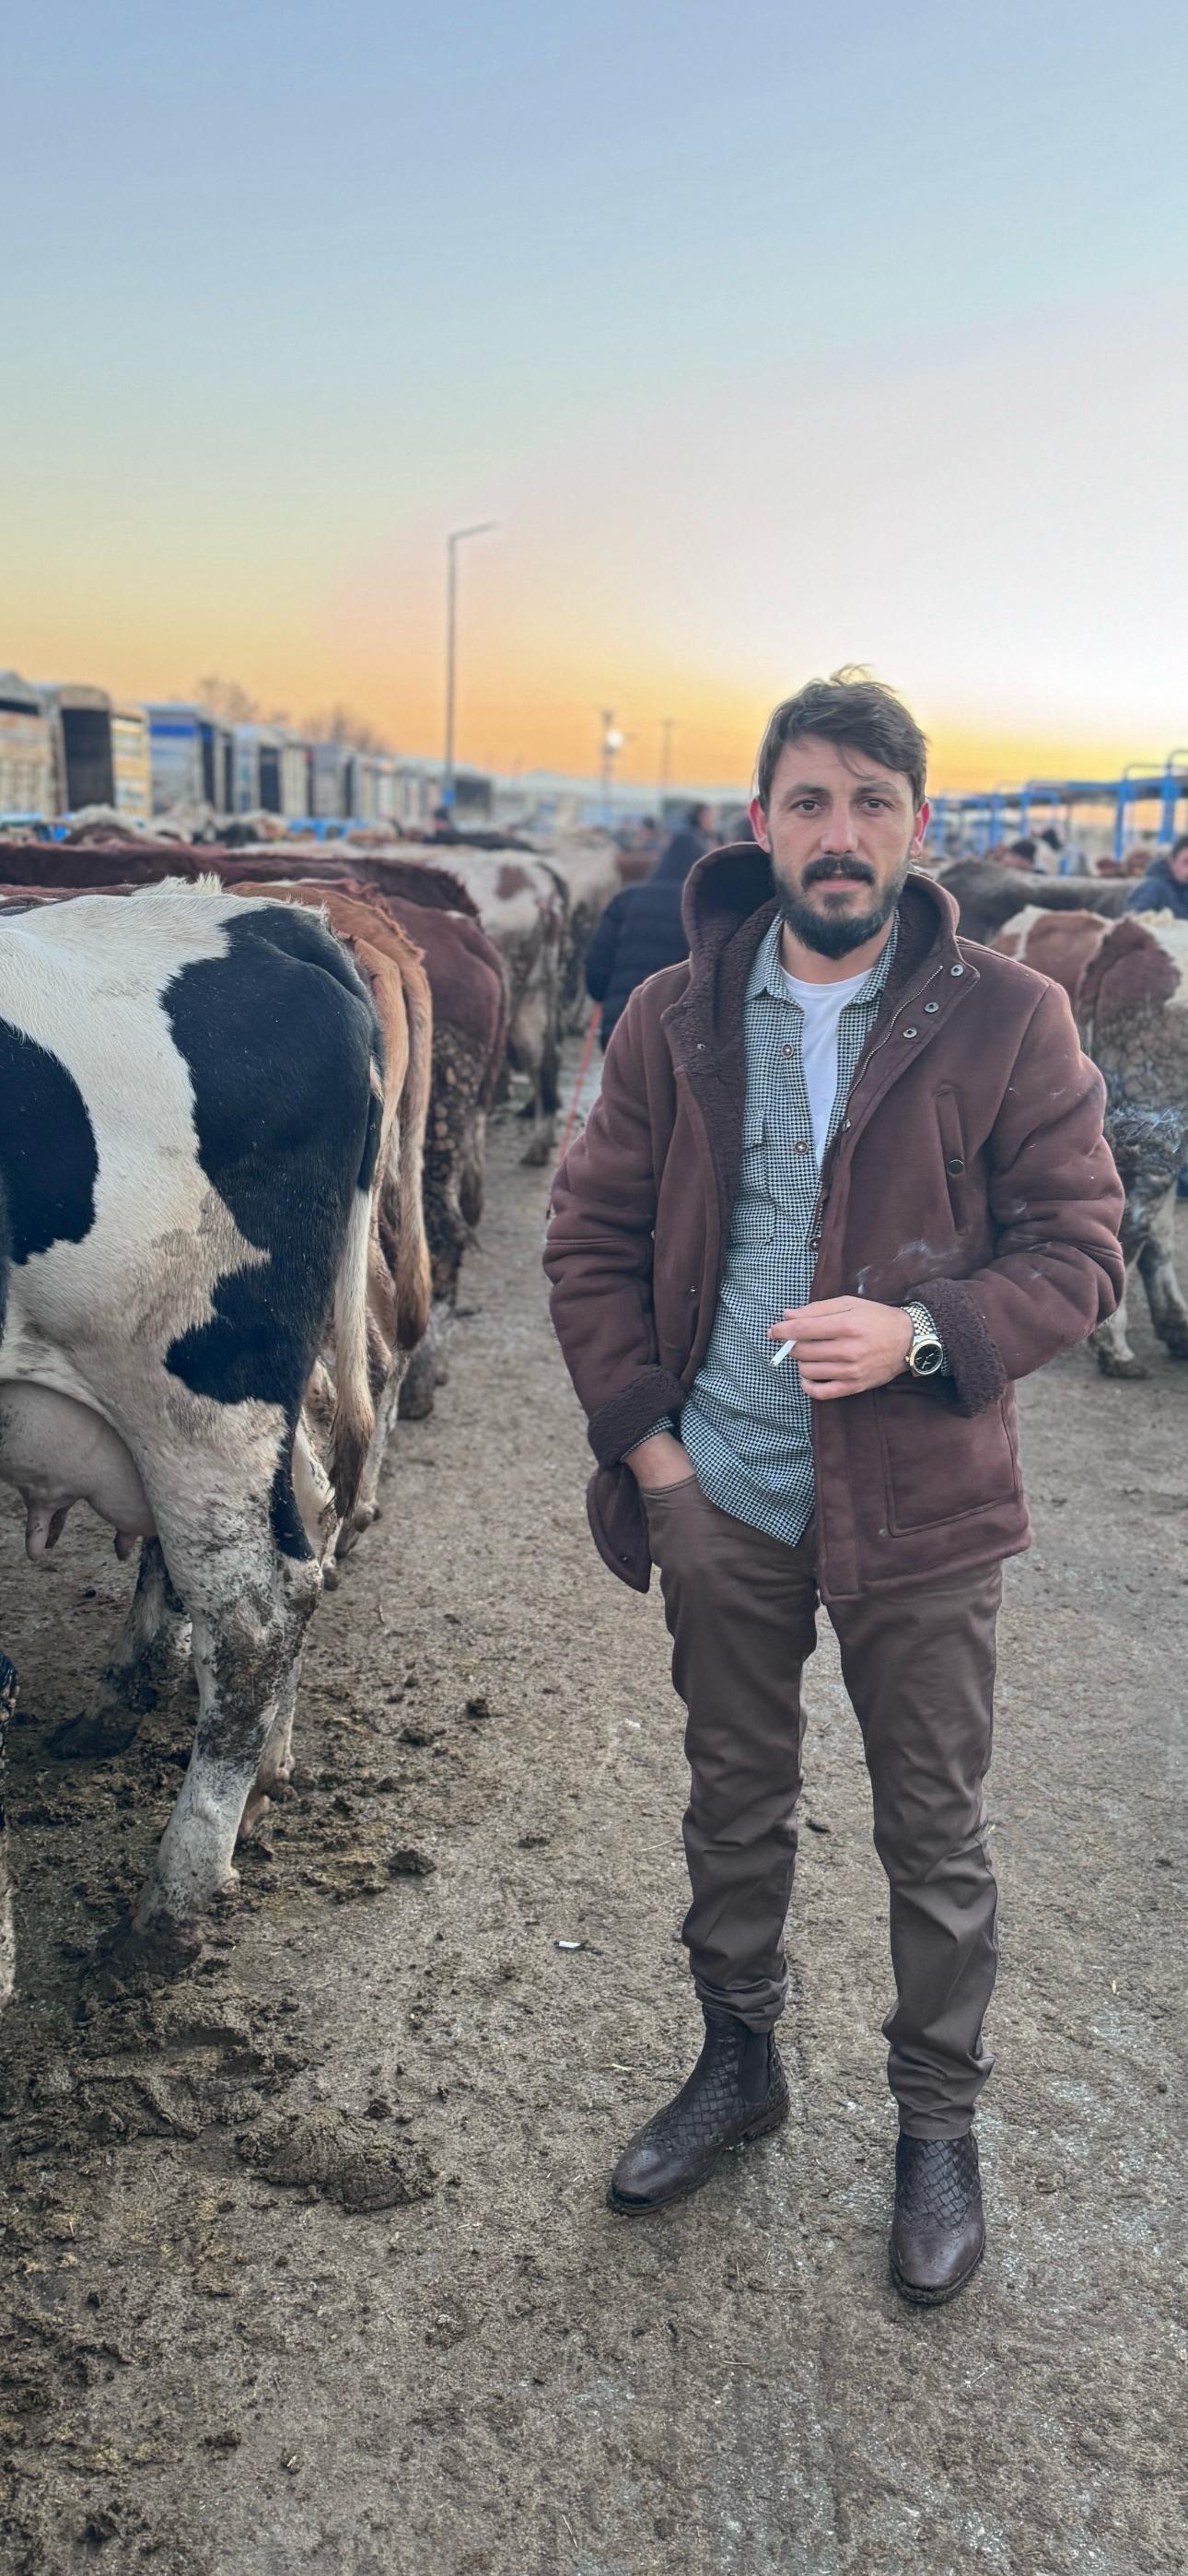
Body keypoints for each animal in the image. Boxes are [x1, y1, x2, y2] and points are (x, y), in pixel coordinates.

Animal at [0, 878, 425, 1998]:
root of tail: (271, 921)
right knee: (306, 1528)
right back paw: (259, 1782)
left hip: (190, 1389)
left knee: (252, 1620)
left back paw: (165, 1913)